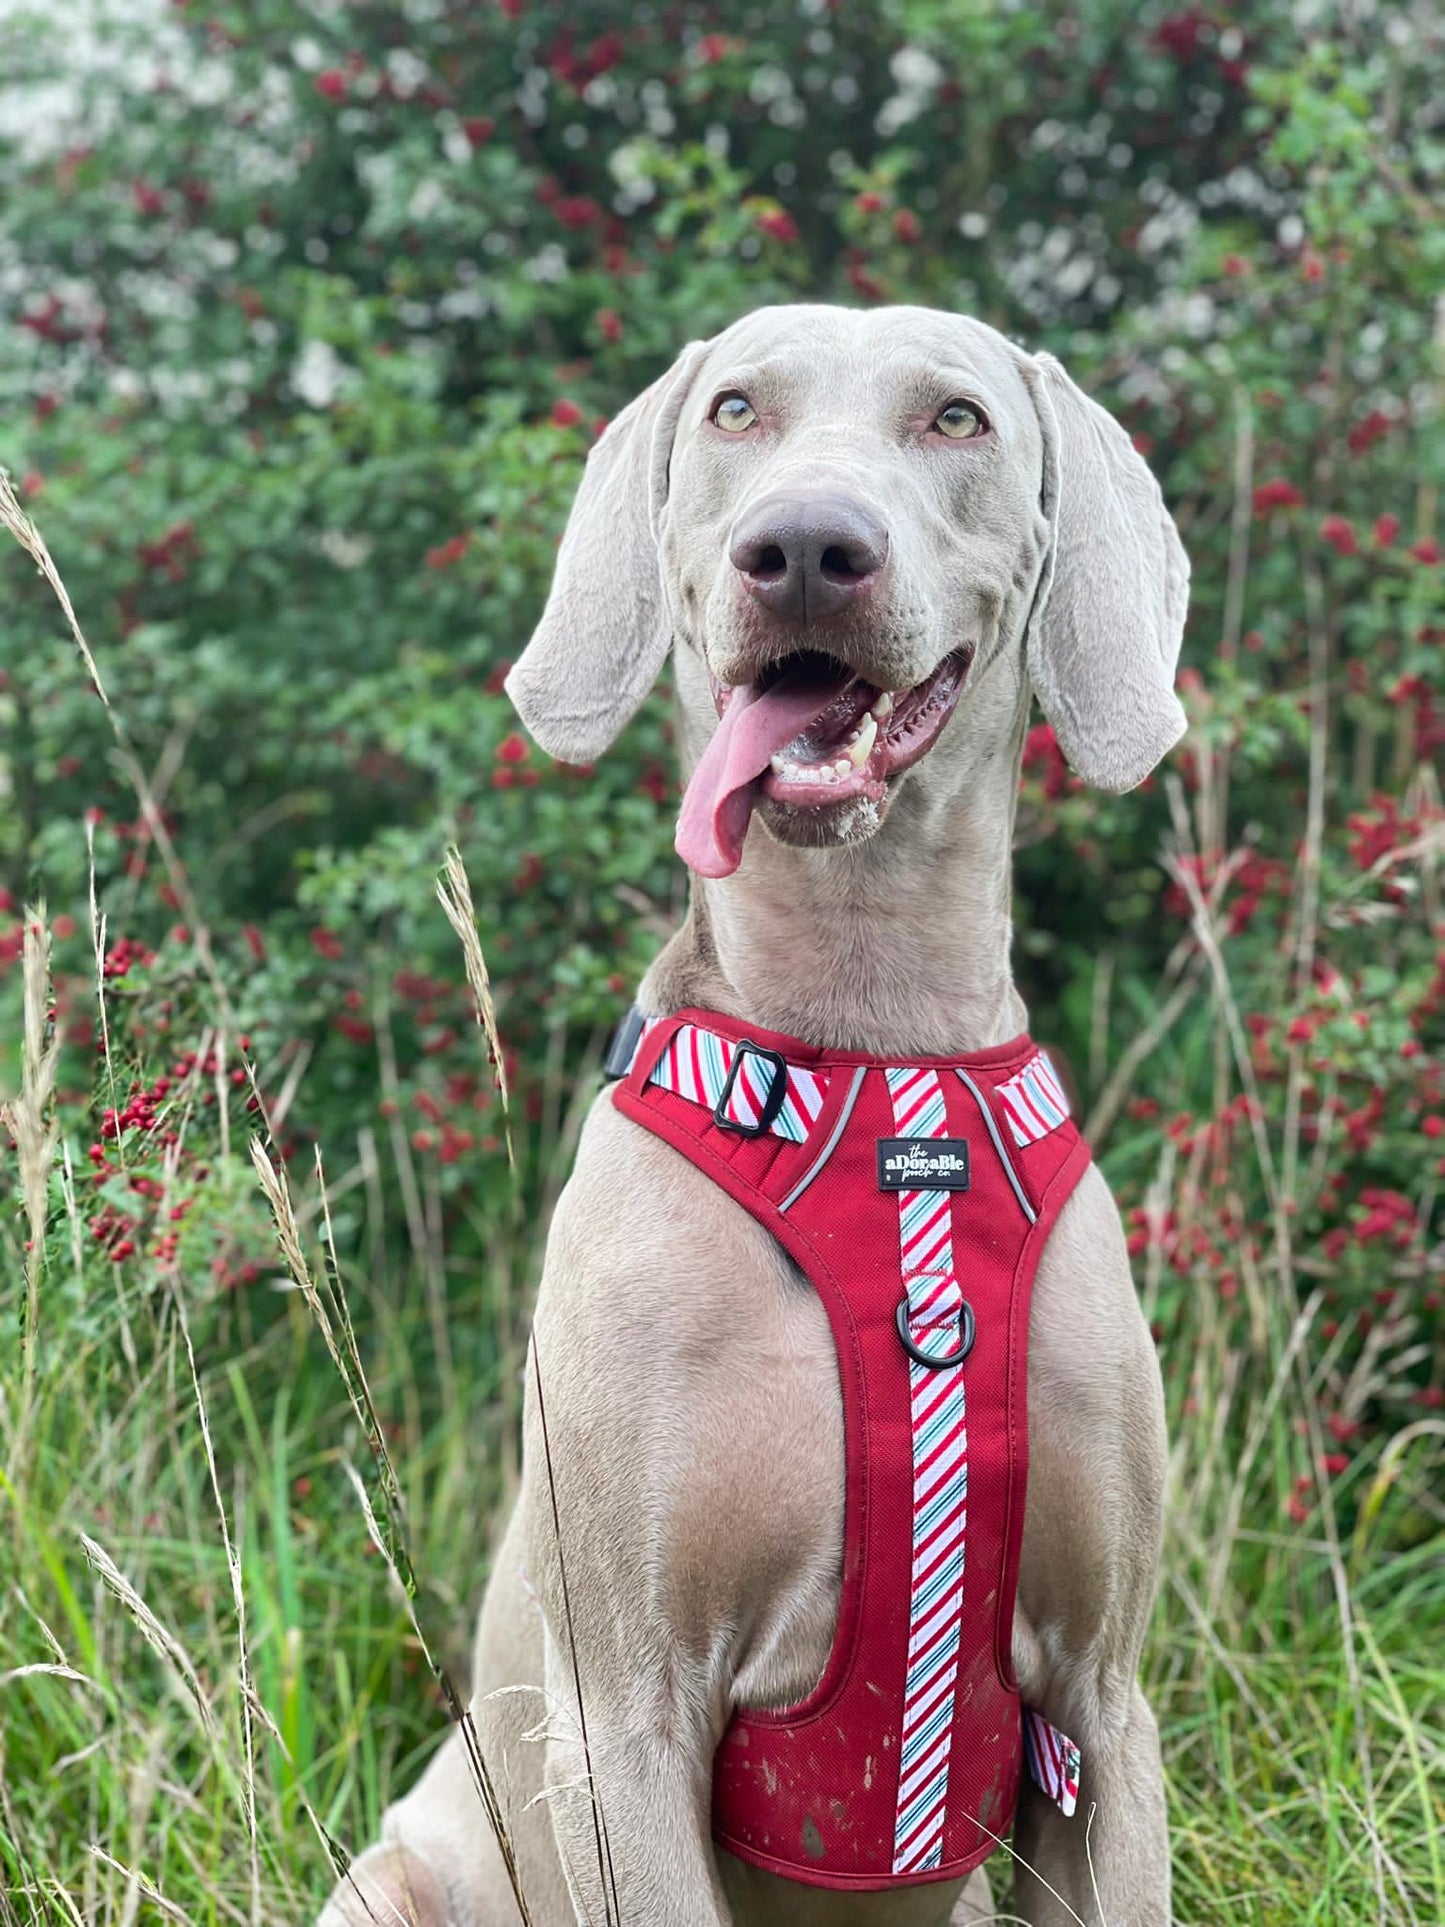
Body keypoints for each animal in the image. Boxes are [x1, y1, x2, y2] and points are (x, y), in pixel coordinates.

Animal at [325, 304, 1186, 1927]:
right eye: (735, 410)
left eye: (956, 418)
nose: (800, 549)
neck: (870, 1054)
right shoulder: (628, 1719)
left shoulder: (1103, 1708)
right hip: (396, 1877)